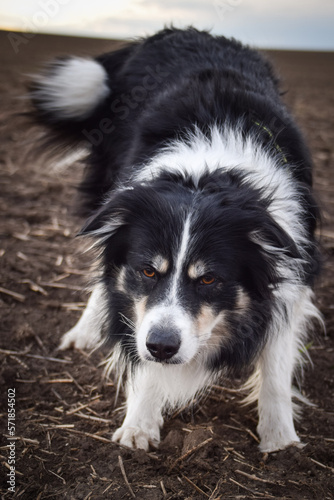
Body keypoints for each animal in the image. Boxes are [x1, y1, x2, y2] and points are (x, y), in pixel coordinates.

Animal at [30, 29, 322, 456]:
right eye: (148, 271)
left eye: (209, 279)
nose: (163, 348)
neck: (207, 174)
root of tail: (175, 31)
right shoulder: (147, 315)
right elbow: (140, 342)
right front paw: (139, 425)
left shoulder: (292, 269)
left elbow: (276, 362)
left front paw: (280, 440)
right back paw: (84, 332)